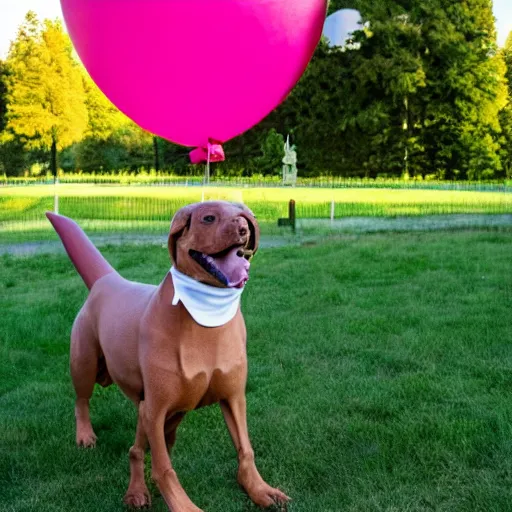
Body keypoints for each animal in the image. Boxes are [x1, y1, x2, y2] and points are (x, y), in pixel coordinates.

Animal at [46, 202, 290, 510]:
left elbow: (245, 448)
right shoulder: (156, 408)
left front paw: (259, 489)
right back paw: (93, 444)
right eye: (208, 217)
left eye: (246, 214)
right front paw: (184, 506)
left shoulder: (233, 397)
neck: (204, 315)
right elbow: (164, 468)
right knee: (87, 405)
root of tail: (108, 280)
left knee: (144, 446)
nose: (243, 228)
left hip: (166, 411)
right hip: (86, 366)